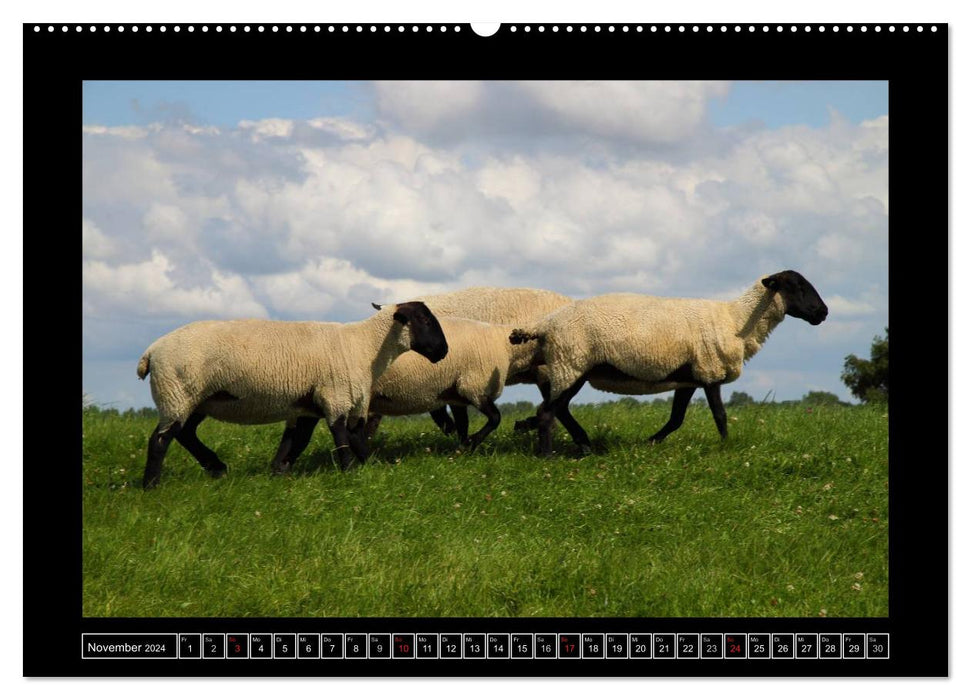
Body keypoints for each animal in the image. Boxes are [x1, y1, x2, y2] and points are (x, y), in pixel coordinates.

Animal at [135, 300, 450, 486]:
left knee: (185, 433)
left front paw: (279, 471)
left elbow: (298, 440)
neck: (364, 346)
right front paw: (350, 471)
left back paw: (216, 467)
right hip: (177, 392)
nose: (444, 351)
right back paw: (151, 485)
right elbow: (343, 436)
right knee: (160, 440)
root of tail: (151, 351)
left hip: (197, 399)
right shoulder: (335, 396)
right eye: (425, 320)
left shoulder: (311, 403)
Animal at [366, 316, 544, 448]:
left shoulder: (457, 395)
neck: (507, 348)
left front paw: (463, 449)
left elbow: (463, 424)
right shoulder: (473, 386)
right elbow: (495, 417)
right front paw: (473, 442)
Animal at [508, 268, 828, 454]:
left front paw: (650, 443)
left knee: (556, 410)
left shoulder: (690, 378)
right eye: (797, 286)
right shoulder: (710, 372)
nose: (823, 313)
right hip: (571, 364)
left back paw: (582, 445)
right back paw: (547, 455)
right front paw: (727, 448)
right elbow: (720, 415)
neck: (735, 320)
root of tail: (545, 324)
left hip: (569, 366)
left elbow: (676, 419)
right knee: (548, 412)